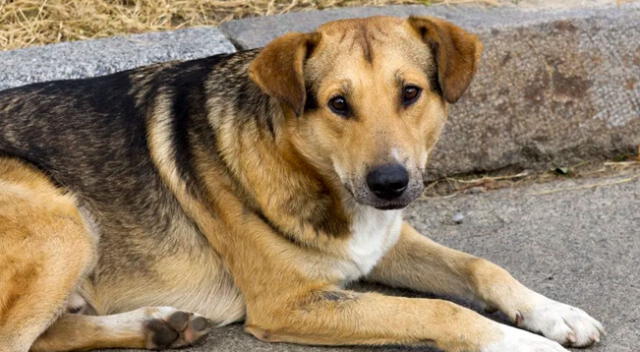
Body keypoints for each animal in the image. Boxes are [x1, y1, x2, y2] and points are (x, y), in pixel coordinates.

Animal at [0, 15, 604, 352]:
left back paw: (157, 326)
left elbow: (482, 267)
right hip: (62, 223)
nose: (390, 183)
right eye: (338, 104)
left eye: (410, 93)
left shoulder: (381, 241)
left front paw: (553, 313)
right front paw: (522, 342)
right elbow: (438, 311)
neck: (308, 167)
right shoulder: (288, 303)